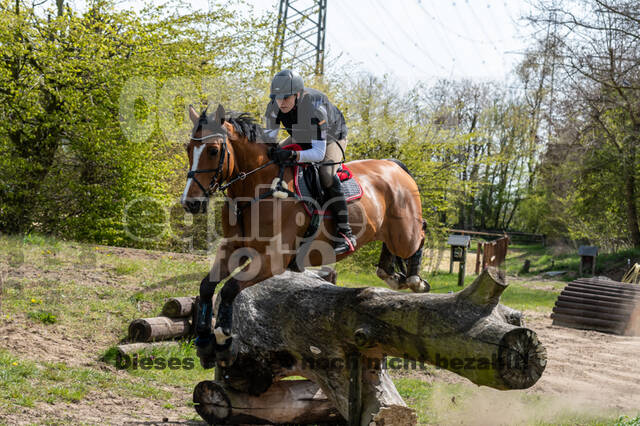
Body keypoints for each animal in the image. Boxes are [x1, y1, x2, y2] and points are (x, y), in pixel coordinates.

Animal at [180, 104, 430, 366]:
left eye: (213, 150)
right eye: (188, 149)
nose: (191, 203)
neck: (257, 190)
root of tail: (394, 165)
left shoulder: (274, 258)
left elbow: (229, 289)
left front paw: (223, 341)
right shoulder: (233, 248)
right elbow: (207, 286)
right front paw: (204, 341)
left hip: (405, 234)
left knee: (421, 231)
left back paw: (414, 279)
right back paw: (392, 275)